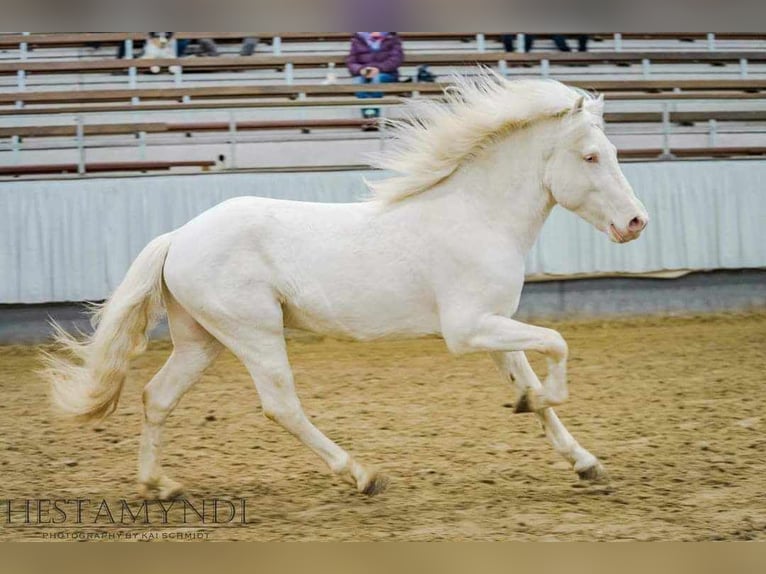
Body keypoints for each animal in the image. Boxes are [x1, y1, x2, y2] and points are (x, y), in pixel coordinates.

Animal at [42, 73, 648, 504]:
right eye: (591, 156)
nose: (636, 223)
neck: (476, 216)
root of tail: (178, 237)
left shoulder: (495, 327)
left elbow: (535, 375)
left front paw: (582, 458)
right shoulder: (468, 329)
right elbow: (557, 346)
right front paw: (535, 404)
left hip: (203, 340)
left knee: (156, 397)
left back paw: (160, 487)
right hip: (255, 333)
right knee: (281, 406)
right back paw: (361, 475)